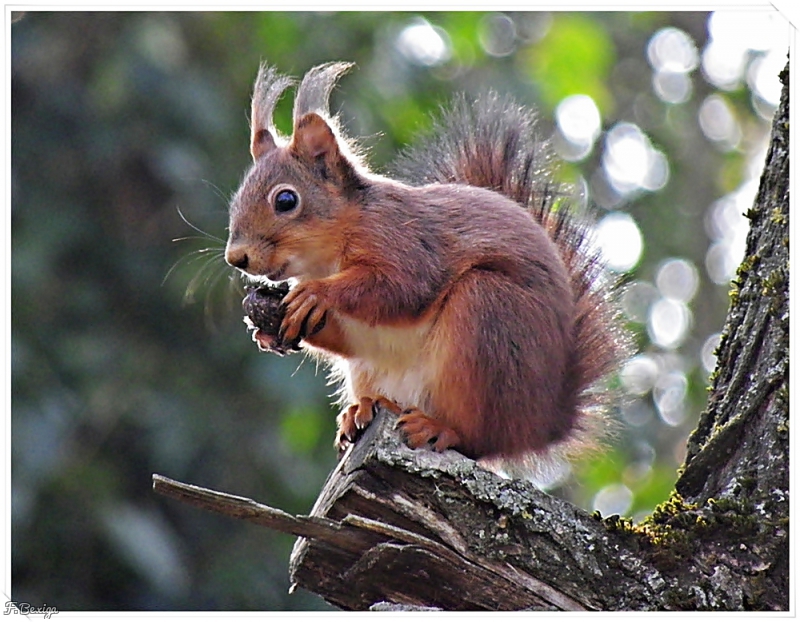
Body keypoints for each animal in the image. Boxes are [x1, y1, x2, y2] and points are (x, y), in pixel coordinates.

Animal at [223, 62, 632, 482]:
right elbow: (347, 335)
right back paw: (364, 408)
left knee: (478, 440)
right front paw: (265, 329)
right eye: (236, 200)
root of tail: (541, 426)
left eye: (286, 200)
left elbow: (400, 289)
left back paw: (438, 428)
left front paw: (316, 294)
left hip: (489, 317)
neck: (330, 254)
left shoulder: (406, 243)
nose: (236, 257)